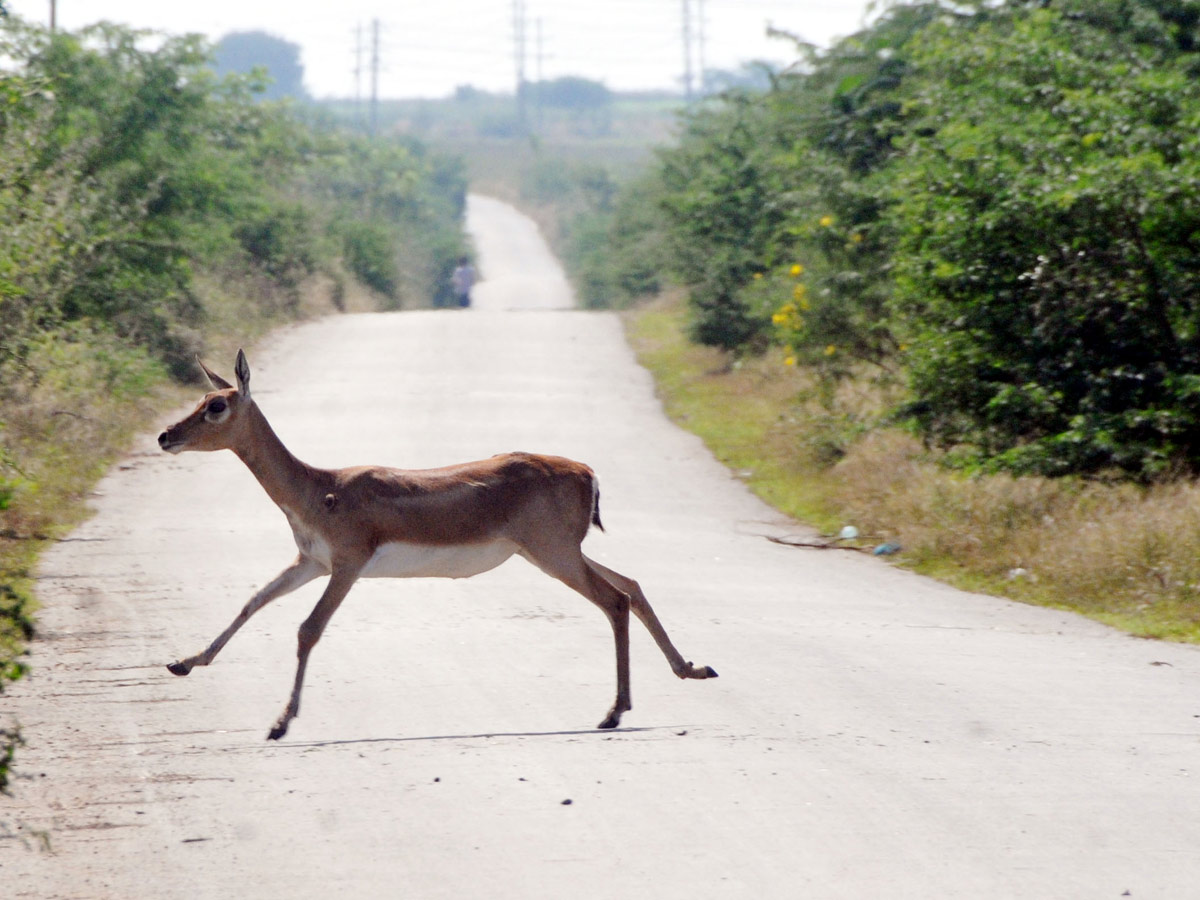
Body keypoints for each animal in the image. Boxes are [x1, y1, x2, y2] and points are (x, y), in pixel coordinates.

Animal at [159, 350, 720, 739]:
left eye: (215, 405)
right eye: (199, 400)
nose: (166, 436)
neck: (320, 488)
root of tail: (588, 471)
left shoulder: (347, 564)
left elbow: (307, 629)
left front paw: (280, 723)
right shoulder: (310, 562)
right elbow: (252, 602)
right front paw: (183, 662)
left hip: (554, 555)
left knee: (615, 599)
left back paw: (613, 713)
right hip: (555, 552)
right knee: (633, 585)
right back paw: (693, 669)